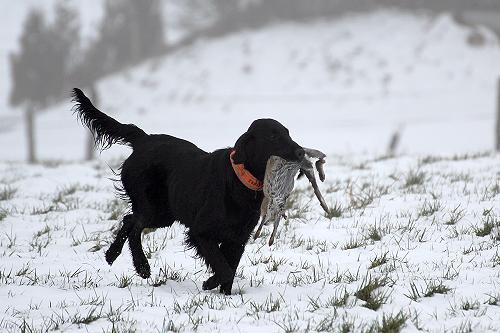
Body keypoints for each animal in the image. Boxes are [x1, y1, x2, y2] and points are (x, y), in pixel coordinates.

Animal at [71, 88, 304, 294]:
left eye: (288, 133)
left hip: (165, 213)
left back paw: (113, 255)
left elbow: (230, 267)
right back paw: (141, 266)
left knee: (129, 220)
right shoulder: (200, 232)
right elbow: (224, 268)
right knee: (134, 225)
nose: (301, 152)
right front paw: (209, 283)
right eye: (273, 137)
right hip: (151, 206)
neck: (239, 180)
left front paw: (225, 297)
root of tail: (143, 139)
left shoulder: (238, 237)